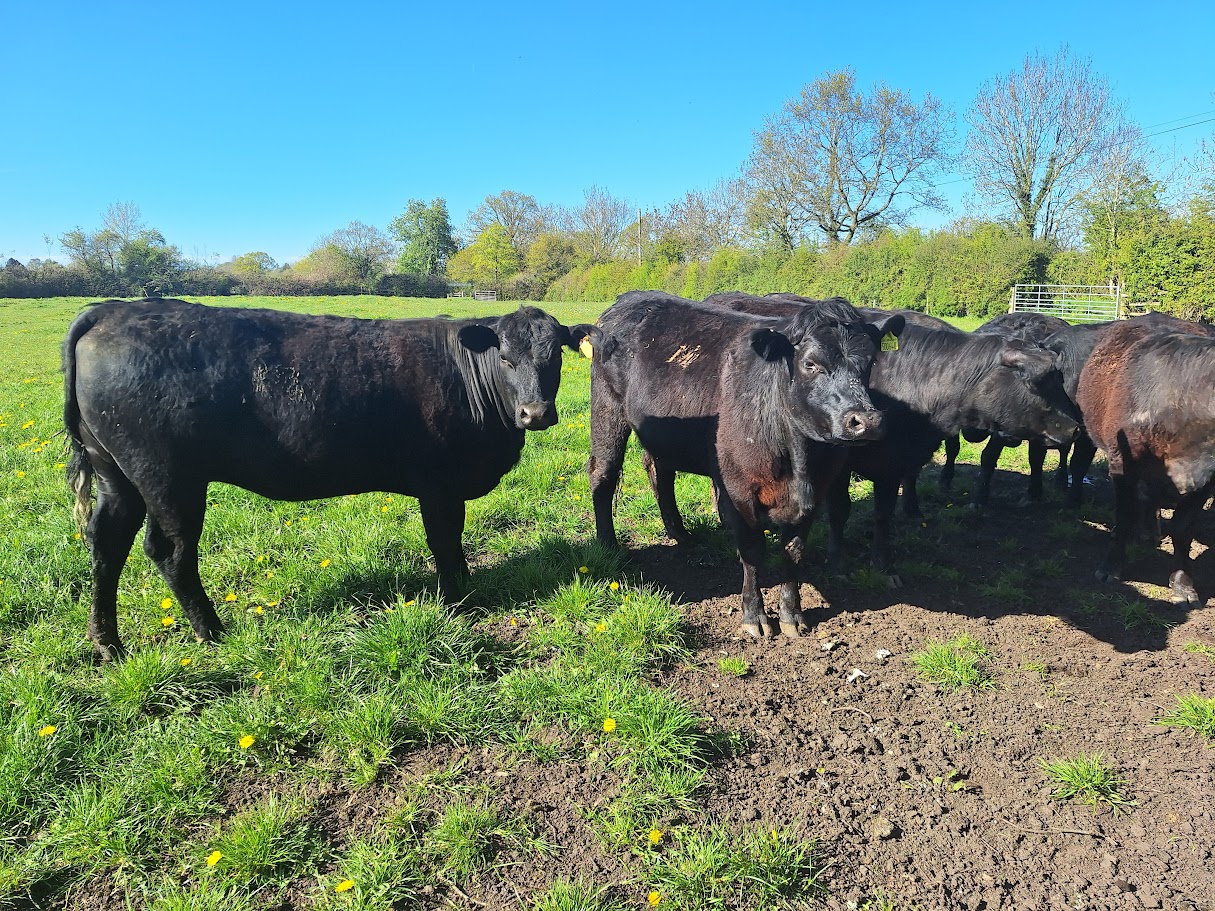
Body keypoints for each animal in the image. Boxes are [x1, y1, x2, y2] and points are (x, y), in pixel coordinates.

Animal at [64, 297, 588, 661]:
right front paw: (458, 601)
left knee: (106, 542)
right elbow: (446, 542)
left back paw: (107, 643)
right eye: (507, 359)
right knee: (170, 551)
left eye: (556, 358)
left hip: (117, 474)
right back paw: (211, 631)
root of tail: (110, 310)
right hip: (169, 479)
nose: (536, 413)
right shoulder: (440, 484)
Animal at [586, 291, 903, 639]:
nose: (867, 421)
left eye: (870, 363)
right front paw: (755, 615)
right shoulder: (739, 490)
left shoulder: (814, 493)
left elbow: (794, 551)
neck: (799, 460)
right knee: (603, 474)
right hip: (606, 411)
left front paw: (792, 614)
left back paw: (681, 534)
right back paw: (608, 544)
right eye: (810, 363)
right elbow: (752, 550)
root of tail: (632, 297)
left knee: (660, 472)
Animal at [1077, 321, 1215, 603]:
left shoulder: (1207, 481)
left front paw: (1183, 583)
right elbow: (1124, 516)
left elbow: (1183, 529)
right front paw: (1111, 568)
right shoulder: (1123, 463)